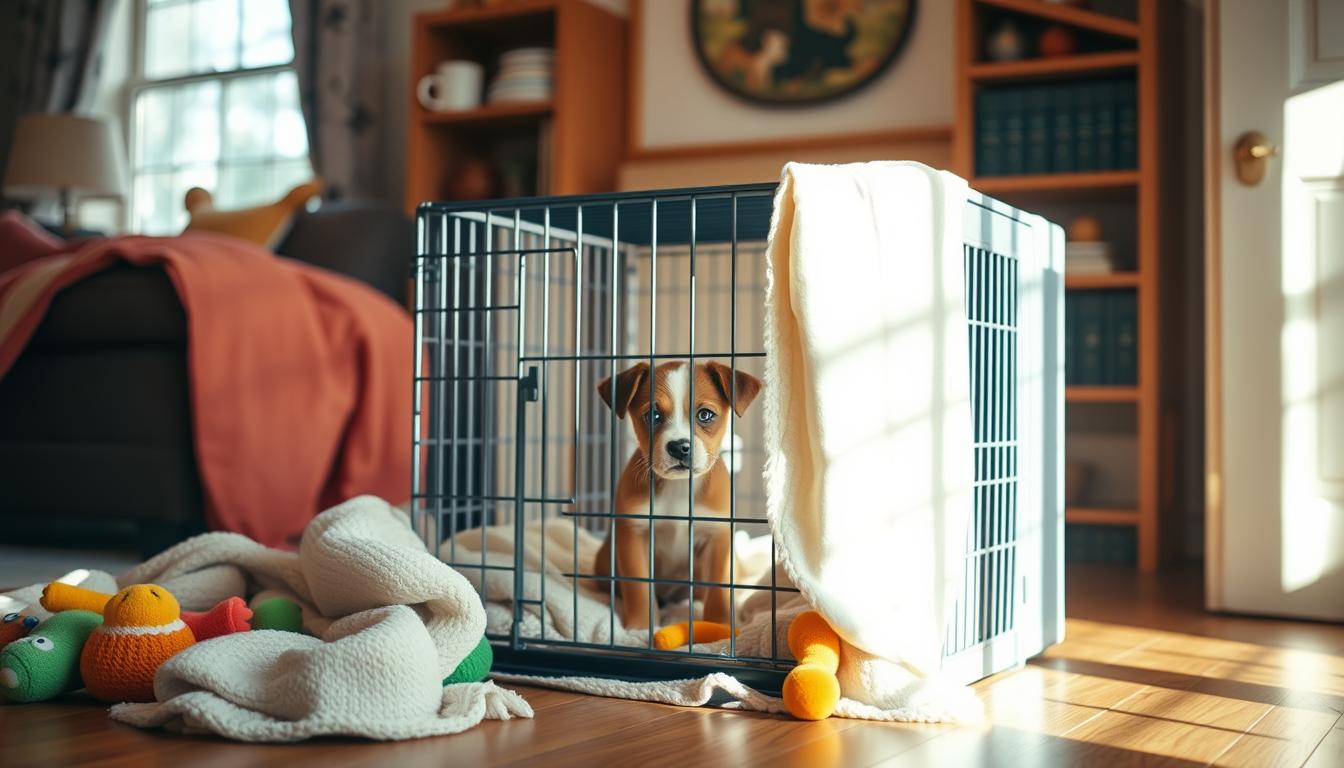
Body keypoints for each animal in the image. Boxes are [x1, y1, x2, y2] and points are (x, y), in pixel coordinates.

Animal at [594, 360, 763, 632]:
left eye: (705, 414)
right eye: (653, 415)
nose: (679, 447)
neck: (679, 488)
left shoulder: (717, 539)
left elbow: (718, 590)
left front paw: (719, 625)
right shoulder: (633, 535)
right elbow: (638, 589)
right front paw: (640, 628)